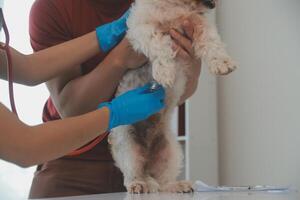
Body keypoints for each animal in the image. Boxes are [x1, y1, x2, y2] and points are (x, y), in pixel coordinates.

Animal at [109, 0, 236, 194]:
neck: (176, 5)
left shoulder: (197, 22)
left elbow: (211, 39)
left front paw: (222, 62)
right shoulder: (140, 25)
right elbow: (158, 41)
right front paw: (165, 71)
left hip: (170, 151)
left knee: (162, 182)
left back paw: (177, 185)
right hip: (127, 145)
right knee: (134, 174)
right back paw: (139, 184)